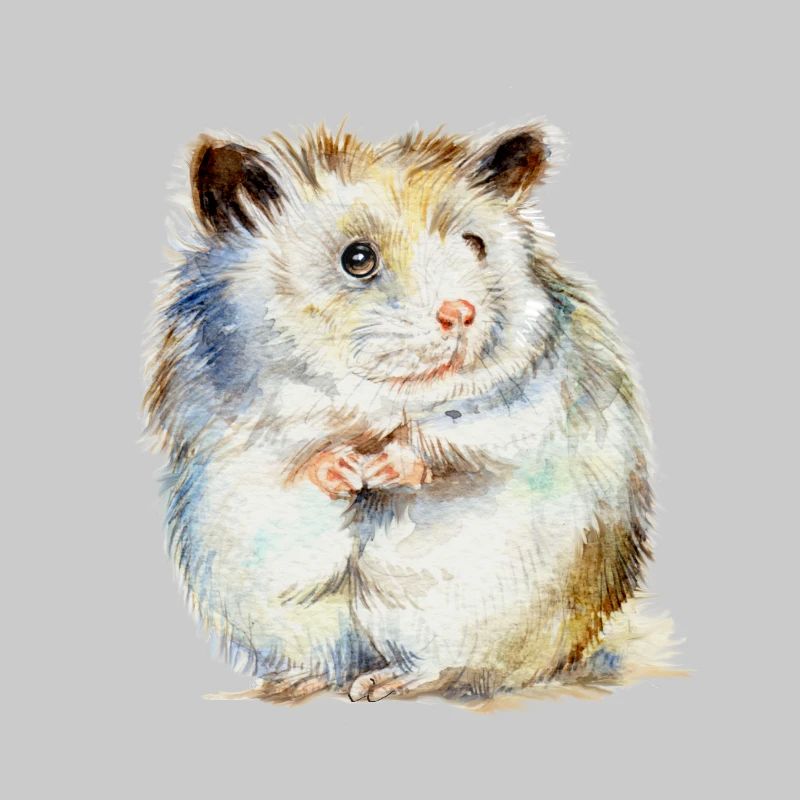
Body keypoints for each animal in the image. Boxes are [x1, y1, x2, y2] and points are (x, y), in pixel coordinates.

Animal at [145, 121, 668, 702]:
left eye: (474, 244)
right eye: (357, 259)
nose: (461, 313)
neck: (378, 397)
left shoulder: (529, 402)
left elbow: (457, 440)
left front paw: (381, 467)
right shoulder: (233, 419)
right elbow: (291, 456)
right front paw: (346, 470)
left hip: (466, 610)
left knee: (449, 667)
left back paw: (379, 684)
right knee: (330, 658)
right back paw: (293, 682)